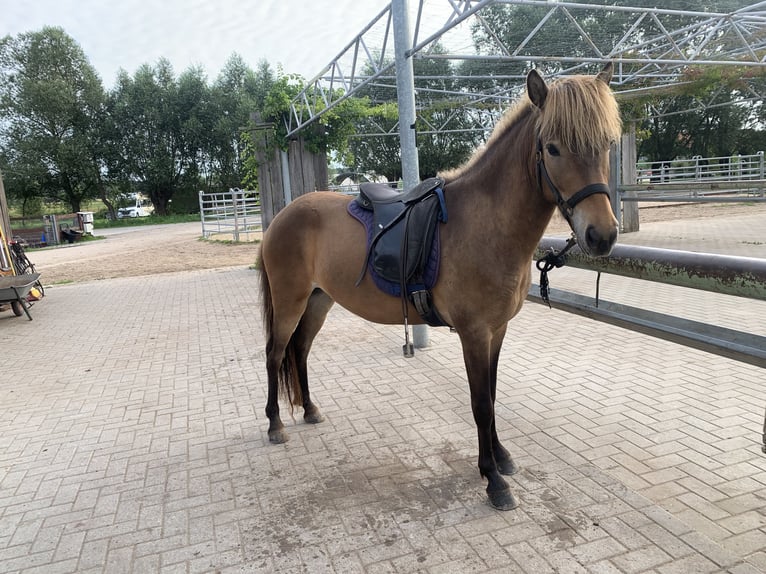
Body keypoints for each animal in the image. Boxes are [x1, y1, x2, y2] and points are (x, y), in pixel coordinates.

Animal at [258, 63, 621, 510]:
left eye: (606, 144)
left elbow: (493, 395)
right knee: (276, 354)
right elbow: (481, 403)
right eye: (552, 148)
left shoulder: (497, 330)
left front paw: (501, 457)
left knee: (301, 351)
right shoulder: (473, 332)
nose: (601, 235)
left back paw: (309, 409)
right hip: (289, 301)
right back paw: (275, 425)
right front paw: (492, 479)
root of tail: (283, 216)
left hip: (318, 301)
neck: (487, 223)